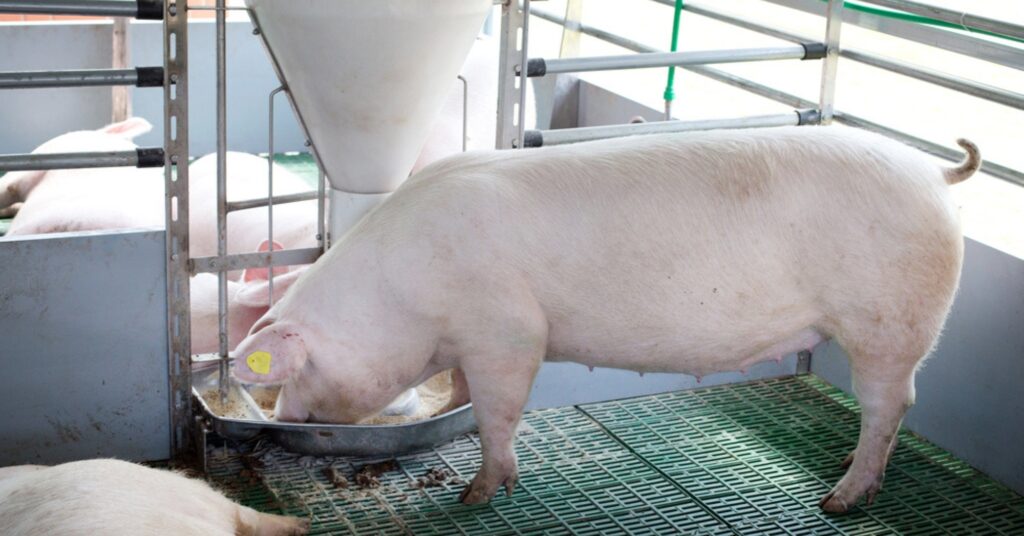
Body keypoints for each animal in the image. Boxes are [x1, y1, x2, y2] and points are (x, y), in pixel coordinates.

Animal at [231, 125, 980, 512]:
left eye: (296, 369)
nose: (282, 418)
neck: (403, 292)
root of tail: (934, 174)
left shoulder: (509, 330)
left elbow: (499, 412)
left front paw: (478, 495)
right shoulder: (470, 340)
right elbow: (464, 394)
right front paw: (452, 413)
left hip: (890, 322)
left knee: (892, 401)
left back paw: (839, 499)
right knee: (893, 409)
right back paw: (850, 464)